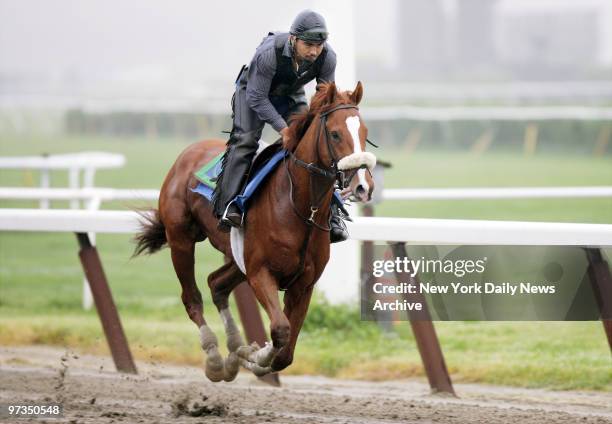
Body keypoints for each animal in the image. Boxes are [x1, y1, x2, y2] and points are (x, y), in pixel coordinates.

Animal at [133, 82, 372, 380]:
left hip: (237, 259)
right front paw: (255, 356)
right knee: (192, 297)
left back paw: (234, 350)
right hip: (181, 240)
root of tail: (188, 153)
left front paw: (249, 354)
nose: (363, 185)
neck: (300, 209)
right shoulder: (260, 273)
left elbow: (286, 353)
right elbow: (280, 330)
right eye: (335, 133)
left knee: (216, 284)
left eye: (365, 133)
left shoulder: (304, 283)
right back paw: (215, 358)